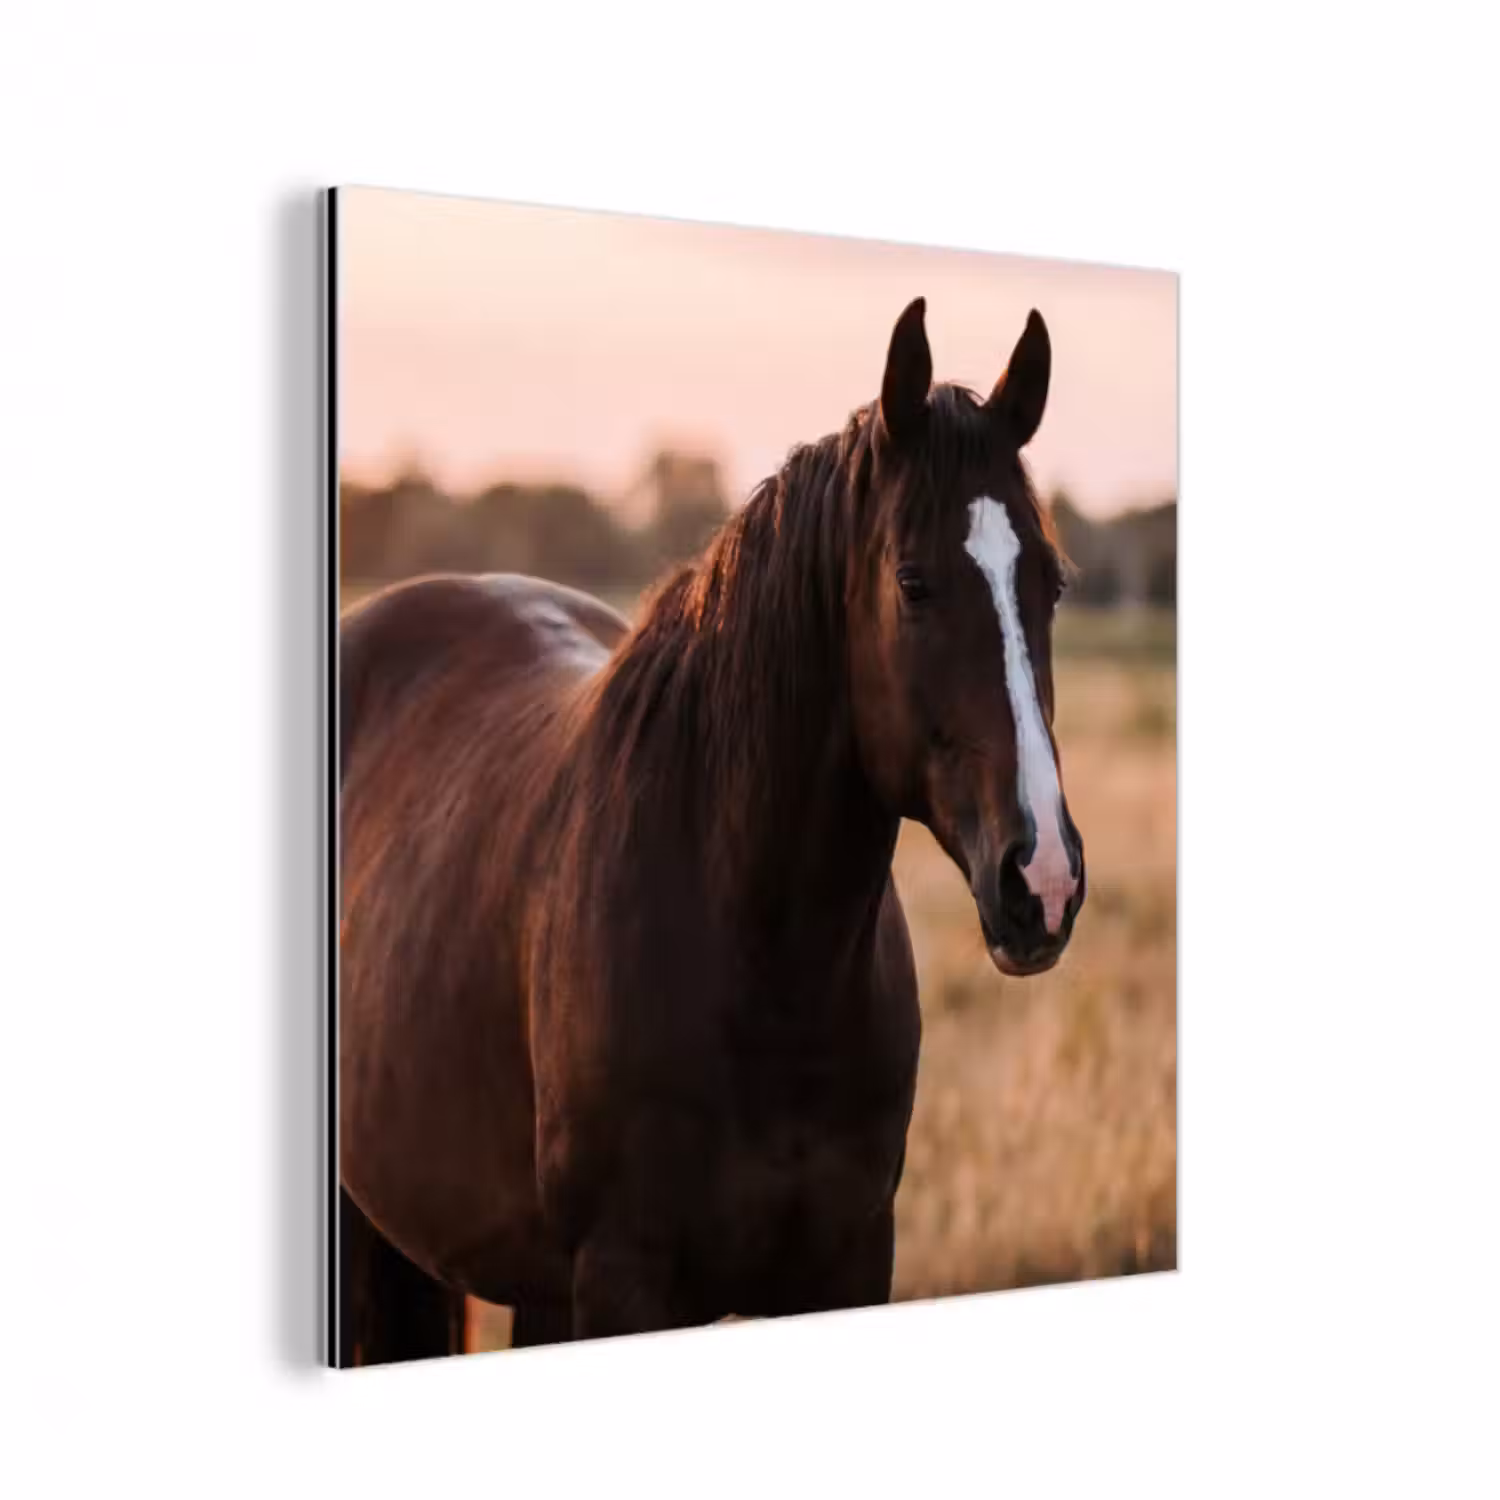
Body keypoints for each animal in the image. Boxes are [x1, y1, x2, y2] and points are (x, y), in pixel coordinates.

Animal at [336, 299, 1086, 1365]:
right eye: (912, 582)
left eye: (1051, 584)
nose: (1044, 881)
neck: (761, 964)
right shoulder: (621, 1280)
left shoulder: (850, 1262)